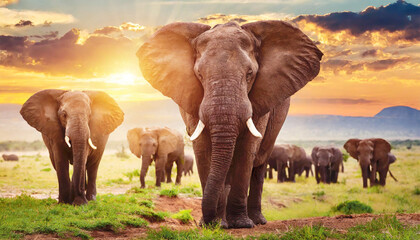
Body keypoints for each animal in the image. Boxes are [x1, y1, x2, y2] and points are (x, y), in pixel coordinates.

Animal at [137, 21, 322, 229]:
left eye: (250, 74)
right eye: (199, 74)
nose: (208, 221)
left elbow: (246, 149)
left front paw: (241, 224)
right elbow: (203, 149)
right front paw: (214, 224)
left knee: (259, 164)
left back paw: (256, 221)